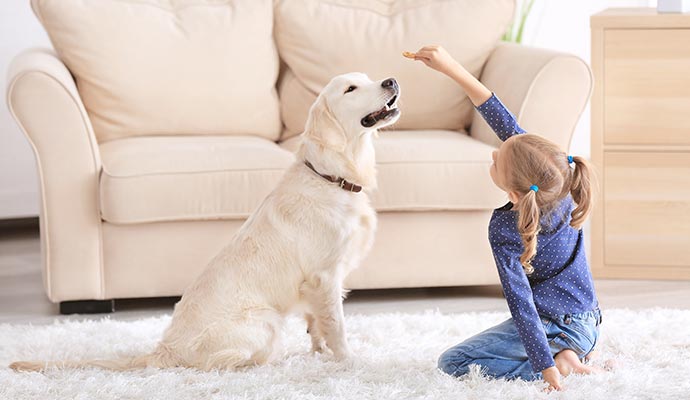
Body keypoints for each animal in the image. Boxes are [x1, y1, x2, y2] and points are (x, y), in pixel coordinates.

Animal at [9, 72, 398, 372]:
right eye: (351, 89)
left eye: (367, 78)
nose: (391, 80)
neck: (329, 176)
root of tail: (164, 350)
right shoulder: (325, 277)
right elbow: (335, 325)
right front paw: (348, 360)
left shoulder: (320, 284)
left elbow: (316, 324)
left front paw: (319, 353)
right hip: (266, 320)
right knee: (219, 364)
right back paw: (265, 363)